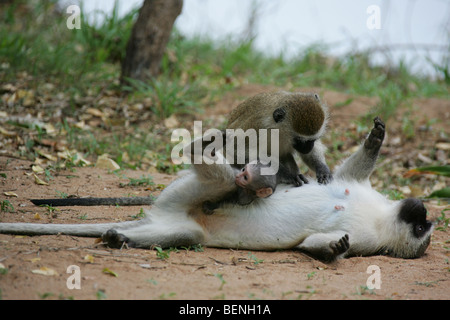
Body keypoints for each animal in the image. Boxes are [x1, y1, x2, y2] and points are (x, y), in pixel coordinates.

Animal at [0, 117, 436, 262]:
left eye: (420, 230)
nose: (423, 211)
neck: (380, 217)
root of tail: (163, 212)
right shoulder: (360, 188)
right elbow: (346, 172)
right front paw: (377, 137)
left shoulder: (369, 243)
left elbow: (314, 243)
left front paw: (334, 247)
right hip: (184, 190)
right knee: (225, 181)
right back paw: (204, 146)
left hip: (178, 217)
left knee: (186, 234)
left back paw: (120, 238)